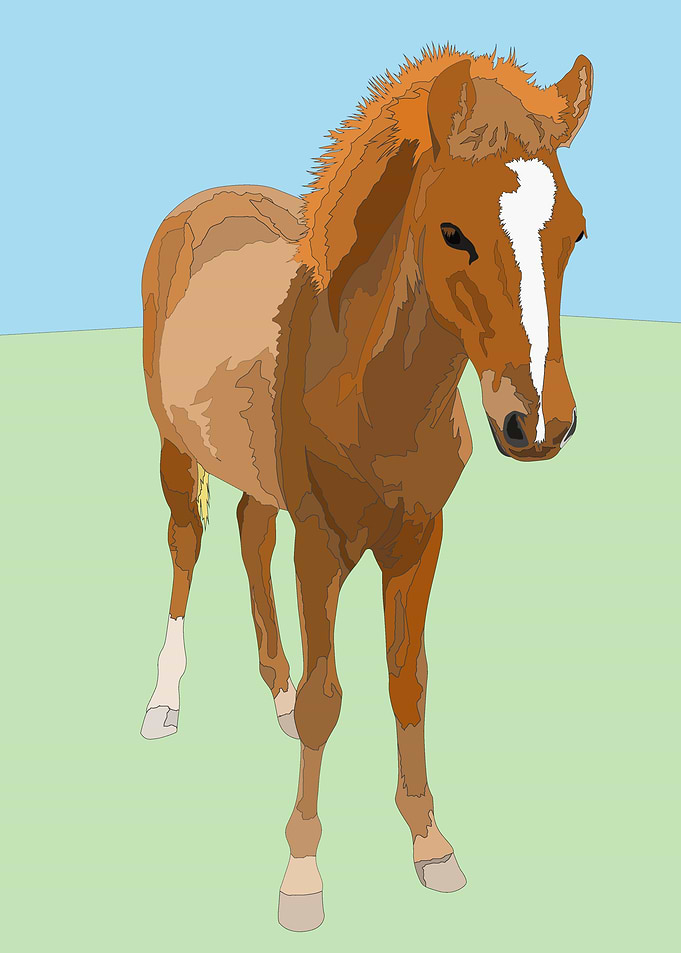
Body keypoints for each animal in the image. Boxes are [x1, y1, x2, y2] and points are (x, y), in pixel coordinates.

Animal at [139, 45, 593, 931]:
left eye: (573, 233)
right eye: (453, 233)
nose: (537, 423)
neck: (366, 384)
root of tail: (201, 203)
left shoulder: (419, 536)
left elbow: (405, 679)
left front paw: (430, 843)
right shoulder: (322, 542)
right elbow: (330, 696)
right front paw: (301, 875)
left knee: (250, 531)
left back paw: (273, 691)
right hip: (176, 446)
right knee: (187, 543)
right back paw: (164, 699)